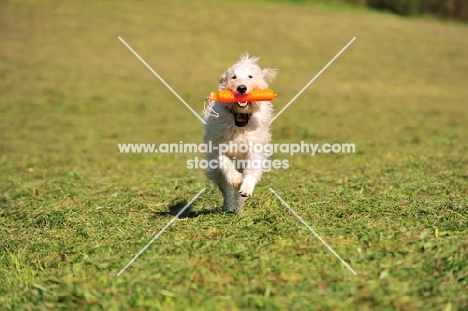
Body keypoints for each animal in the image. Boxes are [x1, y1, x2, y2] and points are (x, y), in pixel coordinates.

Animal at [203, 54, 276, 214]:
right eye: (233, 77)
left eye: (250, 76)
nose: (241, 88)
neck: (240, 118)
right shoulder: (219, 147)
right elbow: (225, 163)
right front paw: (236, 180)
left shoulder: (255, 148)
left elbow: (252, 170)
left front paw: (246, 188)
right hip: (216, 172)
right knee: (224, 188)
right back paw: (229, 205)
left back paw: (238, 206)